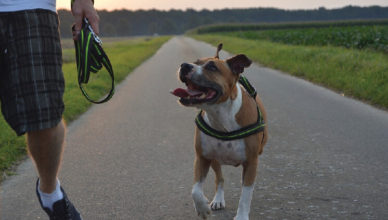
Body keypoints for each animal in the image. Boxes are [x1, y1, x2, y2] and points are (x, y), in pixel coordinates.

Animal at [171, 43, 268, 219]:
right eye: (195, 62)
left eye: (212, 67)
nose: (185, 65)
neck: (220, 116)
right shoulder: (202, 157)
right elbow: (195, 190)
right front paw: (202, 207)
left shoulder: (251, 163)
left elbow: (245, 194)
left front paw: (241, 216)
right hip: (215, 160)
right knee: (220, 179)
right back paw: (218, 200)